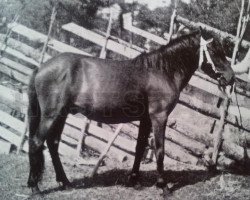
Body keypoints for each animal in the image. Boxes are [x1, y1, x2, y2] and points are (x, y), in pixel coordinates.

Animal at [26, 29, 234, 194]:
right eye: (214, 50)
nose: (231, 78)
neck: (161, 71)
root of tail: (41, 68)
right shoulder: (159, 117)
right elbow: (159, 149)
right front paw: (163, 186)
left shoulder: (146, 119)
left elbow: (140, 148)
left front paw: (134, 180)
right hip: (51, 115)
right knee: (37, 142)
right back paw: (35, 188)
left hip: (61, 115)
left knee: (52, 144)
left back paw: (65, 183)